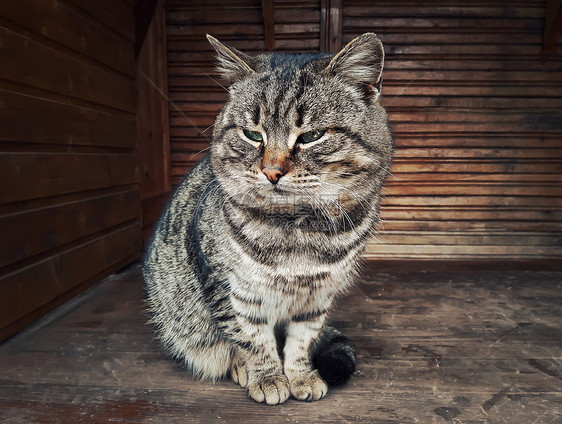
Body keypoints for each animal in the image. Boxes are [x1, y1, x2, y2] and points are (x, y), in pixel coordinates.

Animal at [142, 33, 392, 404]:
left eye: (311, 136)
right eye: (253, 135)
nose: (271, 171)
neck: (299, 228)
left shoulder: (318, 296)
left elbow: (302, 339)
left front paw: (300, 376)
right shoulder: (232, 291)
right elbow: (252, 339)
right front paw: (267, 377)